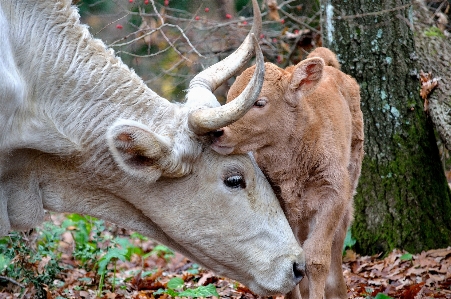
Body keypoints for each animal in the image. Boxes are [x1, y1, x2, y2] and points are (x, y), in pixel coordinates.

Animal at [214, 47, 366, 299]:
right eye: (228, 98)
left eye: (259, 102)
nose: (217, 131)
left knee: (339, 238)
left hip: (351, 179)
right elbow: (292, 258)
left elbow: (316, 259)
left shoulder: (333, 195)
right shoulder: (280, 203)